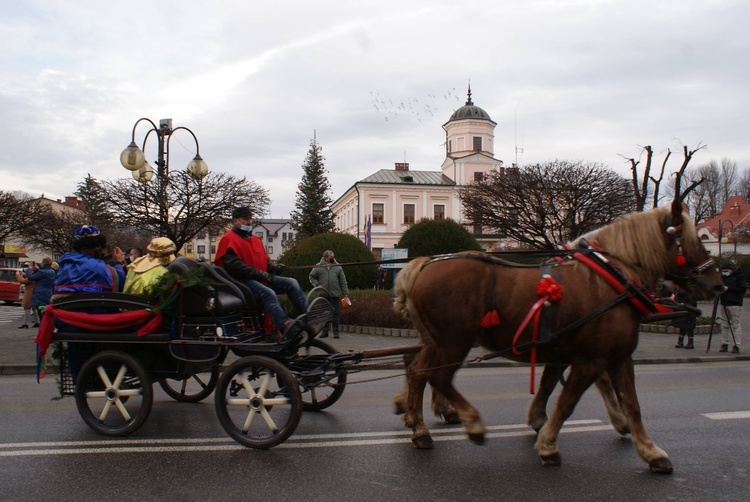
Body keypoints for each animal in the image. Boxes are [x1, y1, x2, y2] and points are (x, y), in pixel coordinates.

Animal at [394, 202, 728, 472]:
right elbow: (567, 402)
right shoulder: (591, 359)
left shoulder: (614, 356)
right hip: (453, 342)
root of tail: (424, 263)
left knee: (417, 370)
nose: (718, 285)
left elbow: (628, 404)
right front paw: (548, 444)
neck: (611, 279)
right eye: (690, 240)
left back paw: (419, 427)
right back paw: (468, 423)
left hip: (437, 341)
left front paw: (650, 451)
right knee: (435, 375)